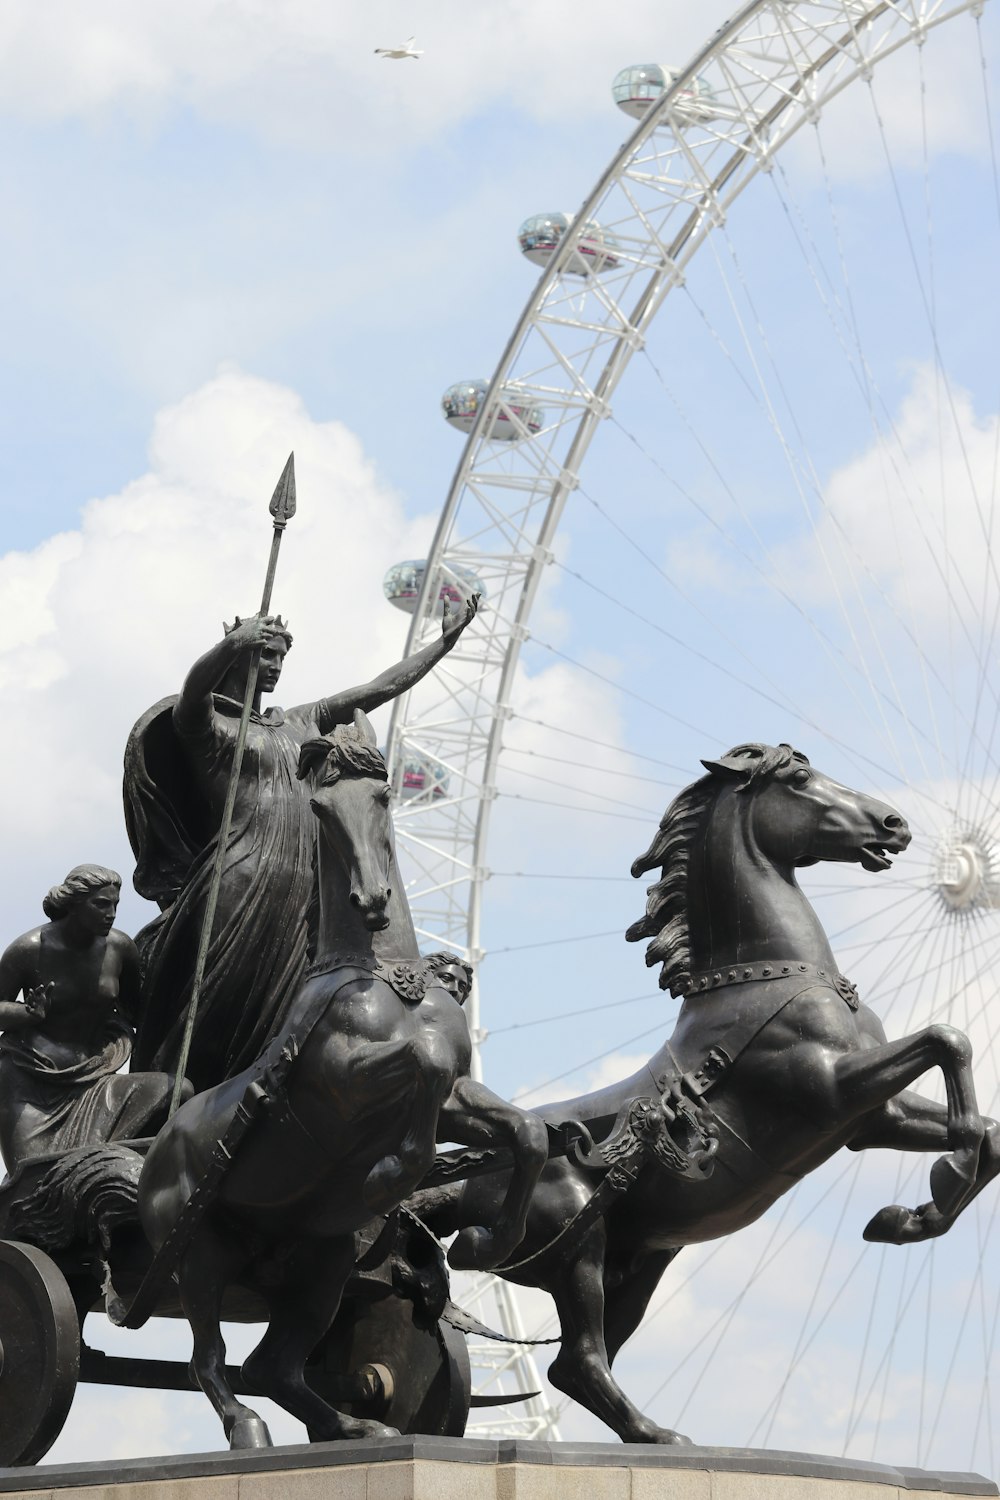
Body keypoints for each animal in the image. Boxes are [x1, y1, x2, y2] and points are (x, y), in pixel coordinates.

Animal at [413, 744, 1000, 1446]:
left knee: (576, 1364)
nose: (894, 823)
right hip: (578, 1249)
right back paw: (660, 1436)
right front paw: (942, 1180)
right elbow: (949, 1039)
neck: (769, 980)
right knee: (578, 1359)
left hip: (640, 1264)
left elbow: (987, 1126)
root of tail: (465, 1181)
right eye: (799, 778)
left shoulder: (868, 1119)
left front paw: (911, 1217)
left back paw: (650, 1435)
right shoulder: (831, 1088)